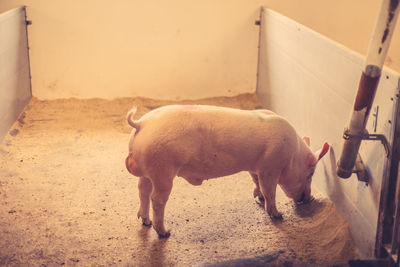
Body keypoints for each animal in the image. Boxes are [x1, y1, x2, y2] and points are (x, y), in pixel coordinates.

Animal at [125, 104, 328, 239]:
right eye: (311, 174)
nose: (309, 198)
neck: (293, 154)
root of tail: (141, 123)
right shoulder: (270, 168)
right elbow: (270, 191)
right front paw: (278, 216)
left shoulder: (255, 167)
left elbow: (256, 183)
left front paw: (258, 198)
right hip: (163, 170)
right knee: (157, 199)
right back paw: (165, 233)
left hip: (148, 172)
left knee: (142, 191)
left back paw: (145, 221)